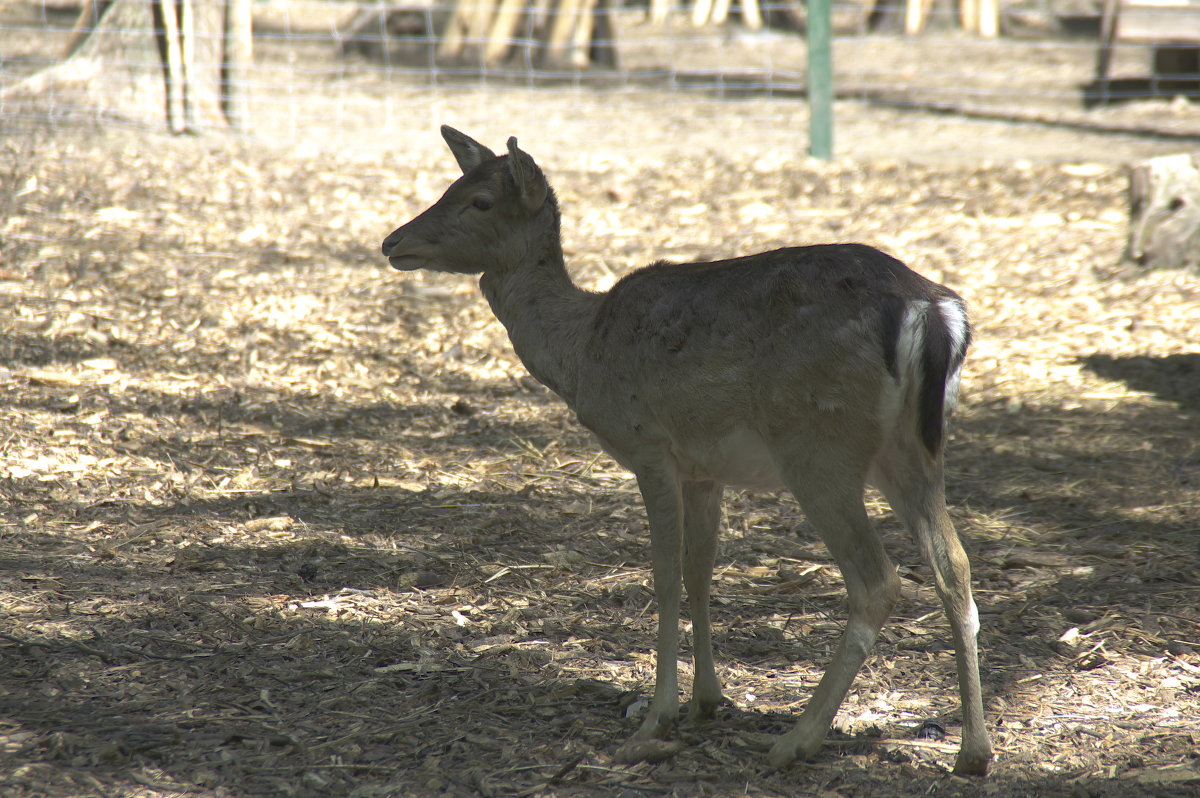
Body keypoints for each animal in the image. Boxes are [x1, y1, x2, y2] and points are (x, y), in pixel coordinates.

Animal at [381, 126, 993, 772]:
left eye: (479, 201)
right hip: (912, 450)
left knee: (877, 580)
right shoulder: (705, 467)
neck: (583, 348)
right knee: (954, 565)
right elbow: (701, 569)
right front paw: (706, 700)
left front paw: (658, 716)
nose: (392, 241)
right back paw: (973, 751)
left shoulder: (650, 444)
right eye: (451, 186)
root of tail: (934, 312)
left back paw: (796, 739)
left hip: (820, 445)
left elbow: (666, 574)